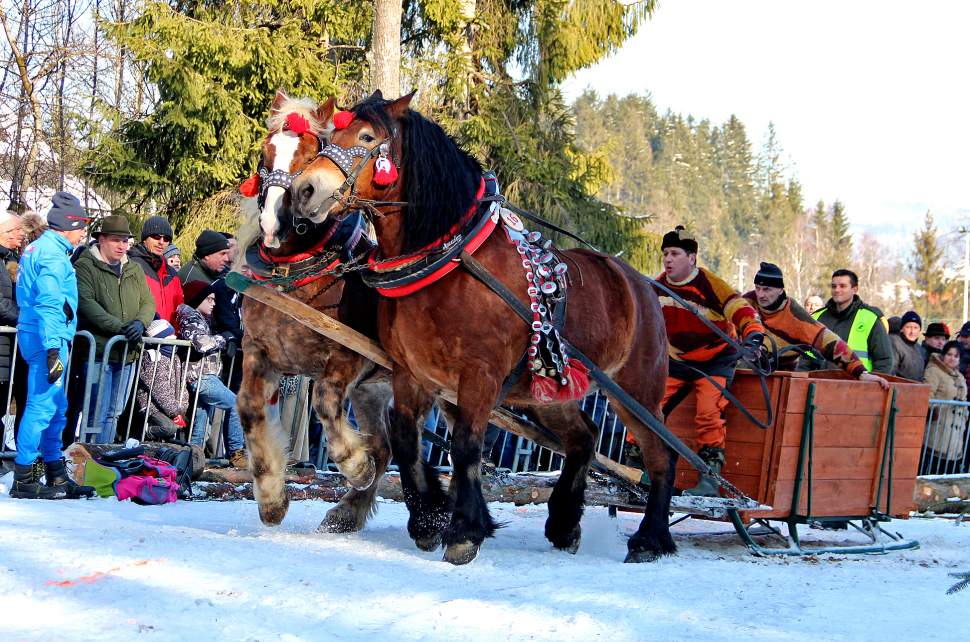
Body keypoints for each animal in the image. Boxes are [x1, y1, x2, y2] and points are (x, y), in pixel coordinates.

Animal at [236, 90, 392, 528]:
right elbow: (249, 409)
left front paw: (354, 465)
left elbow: (322, 400)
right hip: (372, 390)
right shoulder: (258, 351)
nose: (271, 224)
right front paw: (271, 498)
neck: (296, 274)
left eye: (309, 156)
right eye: (265, 153)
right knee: (386, 448)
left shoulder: (347, 357)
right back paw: (347, 513)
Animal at [290, 92, 672, 564]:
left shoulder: (480, 374)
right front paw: (429, 519)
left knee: (661, 456)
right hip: (548, 392)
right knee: (585, 438)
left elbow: (466, 447)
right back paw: (564, 524)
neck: (451, 265)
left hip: (637, 392)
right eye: (329, 135)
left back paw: (650, 538)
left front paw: (463, 532)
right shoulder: (412, 372)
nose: (304, 190)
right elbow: (406, 439)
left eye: (365, 137)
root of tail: (643, 285)